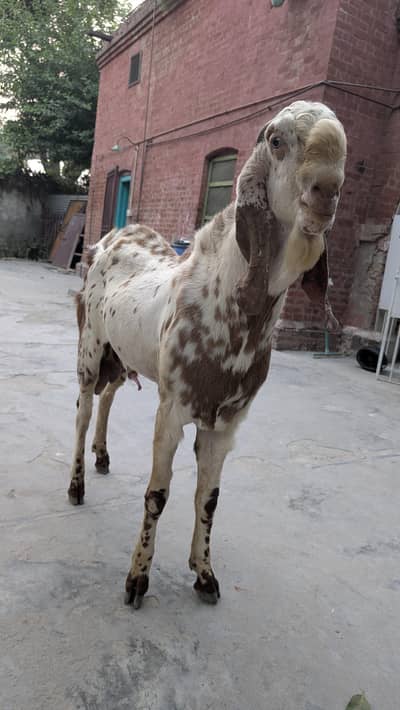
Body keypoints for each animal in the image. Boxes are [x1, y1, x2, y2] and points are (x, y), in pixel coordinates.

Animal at [68, 101, 346, 608]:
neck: (225, 304)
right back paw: (77, 483)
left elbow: (210, 497)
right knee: (81, 412)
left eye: (346, 150)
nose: (325, 193)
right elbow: (157, 495)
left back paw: (102, 455)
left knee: (109, 396)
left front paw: (204, 573)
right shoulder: (172, 410)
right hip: (90, 348)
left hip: (122, 354)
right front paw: (137, 579)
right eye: (277, 141)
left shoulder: (227, 422)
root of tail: (110, 239)